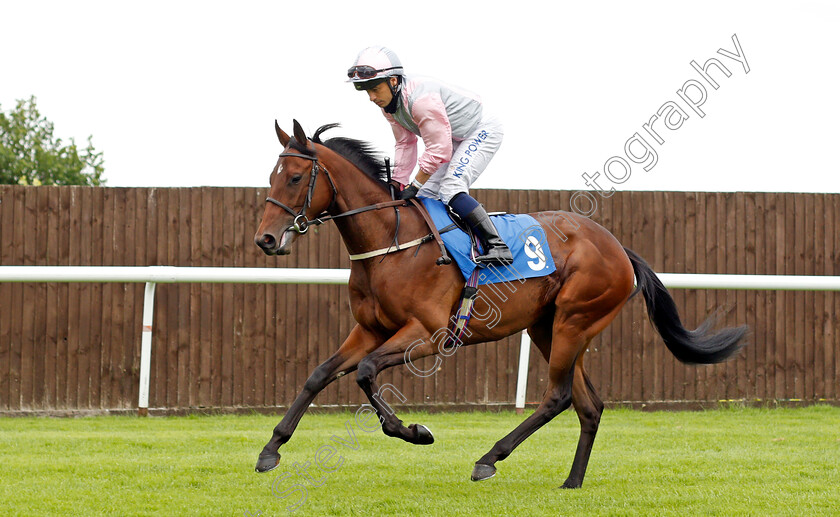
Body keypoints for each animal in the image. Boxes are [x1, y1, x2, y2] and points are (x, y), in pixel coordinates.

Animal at [253, 119, 744, 486]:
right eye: (272, 177)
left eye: (295, 177)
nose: (266, 239)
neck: (391, 244)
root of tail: (618, 247)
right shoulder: (370, 329)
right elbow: (319, 375)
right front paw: (270, 449)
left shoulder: (429, 334)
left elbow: (367, 372)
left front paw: (414, 431)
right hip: (548, 327)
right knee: (589, 405)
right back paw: (572, 481)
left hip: (574, 321)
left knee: (558, 396)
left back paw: (490, 457)